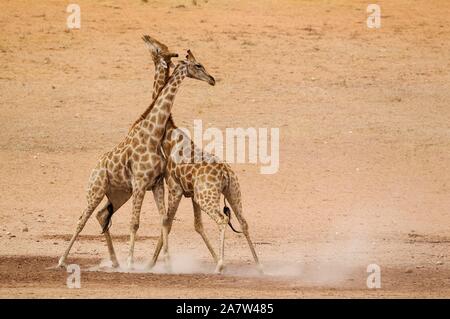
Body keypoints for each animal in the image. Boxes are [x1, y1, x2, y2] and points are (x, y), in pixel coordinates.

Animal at [144, 50, 262, 276]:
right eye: (199, 65)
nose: (212, 79)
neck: (168, 138)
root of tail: (225, 172)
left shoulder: (175, 188)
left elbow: (167, 223)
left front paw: (153, 263)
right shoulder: (191, 194)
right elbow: (197, 225)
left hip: (207, 196)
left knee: (222, 220)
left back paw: (220, 265)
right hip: (232, 191)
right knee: (243, 222)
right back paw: (259, 266)